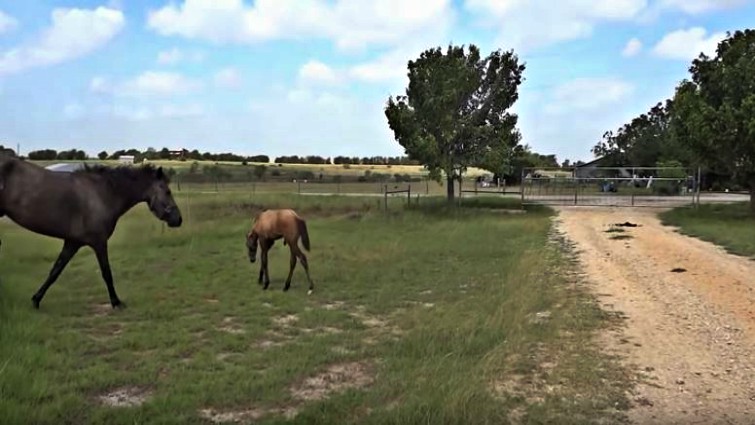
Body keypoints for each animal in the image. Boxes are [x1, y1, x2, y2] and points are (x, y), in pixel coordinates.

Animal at [0, 154, 183, 309]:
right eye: (167, 191)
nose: (178, 219)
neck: (103, 193)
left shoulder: (72, 243)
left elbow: (55, 271)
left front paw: (36, 300)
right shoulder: (99, 242)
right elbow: (106, 273)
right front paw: (116, 302)